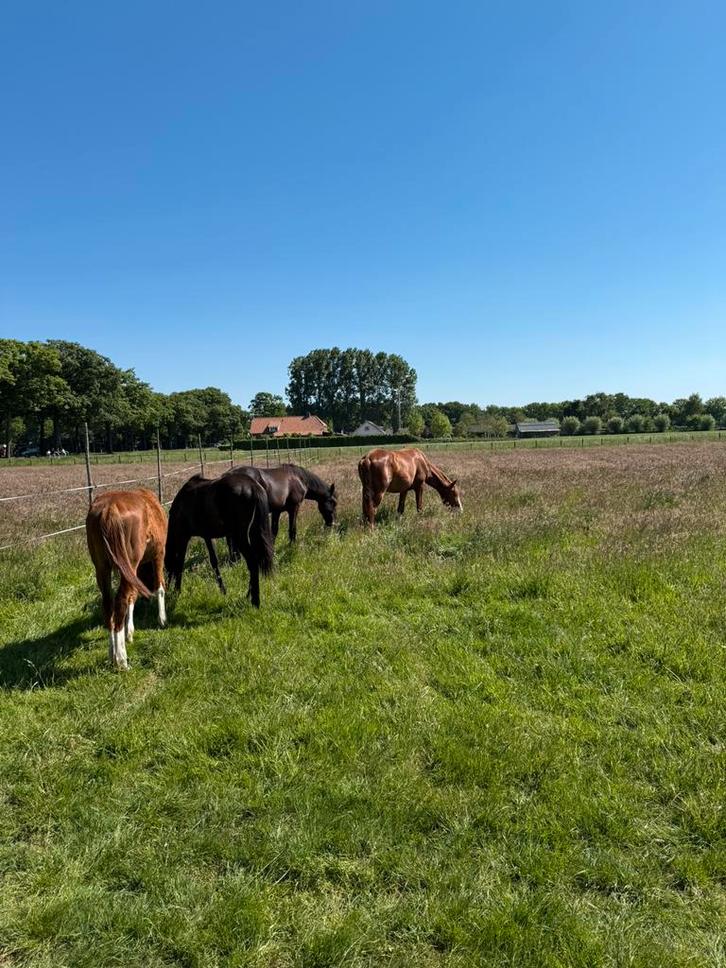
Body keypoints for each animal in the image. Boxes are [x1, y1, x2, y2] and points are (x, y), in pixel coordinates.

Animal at [85, 488, 167, 670]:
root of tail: (109, 509)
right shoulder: (159, 553)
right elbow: (159, 586)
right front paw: (162, 619)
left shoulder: (130, 570)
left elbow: (133, 594)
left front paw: (129, 631)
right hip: (130, 561)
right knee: (120, 600)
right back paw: (121, 659)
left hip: (102, 567)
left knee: (108, 603)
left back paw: (112, 653)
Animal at [164, 471, 274, 606]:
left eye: (166, 566)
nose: (166, 588)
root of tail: (253, 486)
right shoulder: (207, 536)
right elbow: (214, 562)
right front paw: (223, 590)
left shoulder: (184, 537)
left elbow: (180, 563)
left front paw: (176, 592)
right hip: (253, 533)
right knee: (256, 561)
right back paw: (248, 595)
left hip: (240, 536)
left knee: (252, 562)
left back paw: (254, 601)